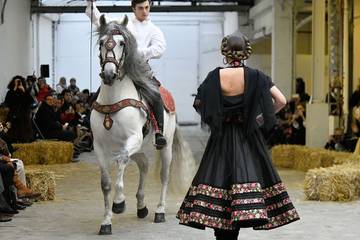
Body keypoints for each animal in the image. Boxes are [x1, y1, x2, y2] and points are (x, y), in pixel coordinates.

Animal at [91, 15, 195, 234]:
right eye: (102, 42)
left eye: (122, 43)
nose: (109, 74)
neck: (114, 99)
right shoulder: (99, 147)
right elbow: (105, 184)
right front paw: (106, 222)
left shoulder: (132, 139)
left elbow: (121, 162)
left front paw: (119, 202)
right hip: (138, 149)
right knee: (144, 164)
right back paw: (141, 206)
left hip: (164, 146)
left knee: (164, 175)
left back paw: (159, 211)